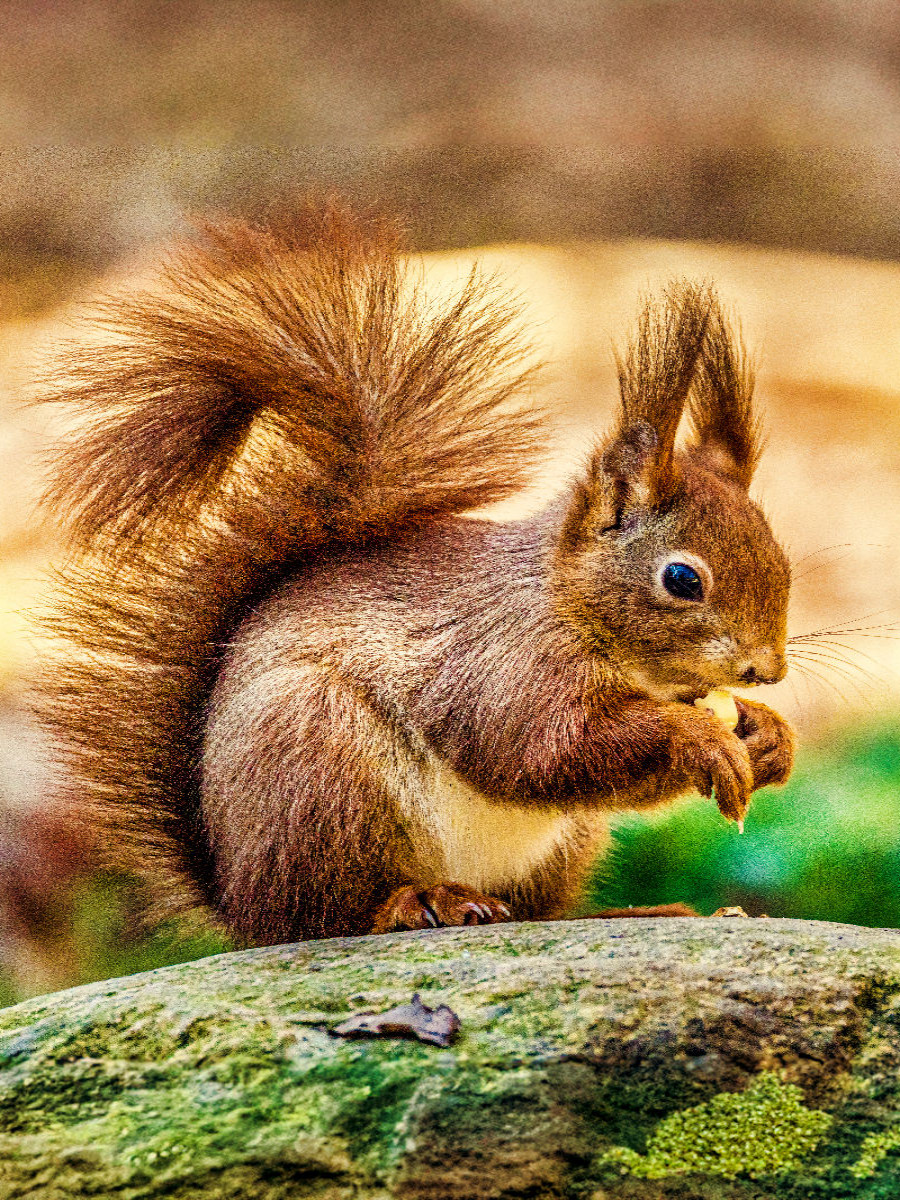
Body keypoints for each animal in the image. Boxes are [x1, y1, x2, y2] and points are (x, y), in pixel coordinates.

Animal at [35, 206, 796, 940]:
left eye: (782, 560)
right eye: (683, 580)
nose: (767, 670)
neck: (568, 605)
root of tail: (236, 895)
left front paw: (769, 739)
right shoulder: (503, 665)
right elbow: (541, 750)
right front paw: (700, 738)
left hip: (557, 844)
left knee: (538, 911)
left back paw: (630, 913)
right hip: (317, 771)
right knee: (327, 915)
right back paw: (418, 903)